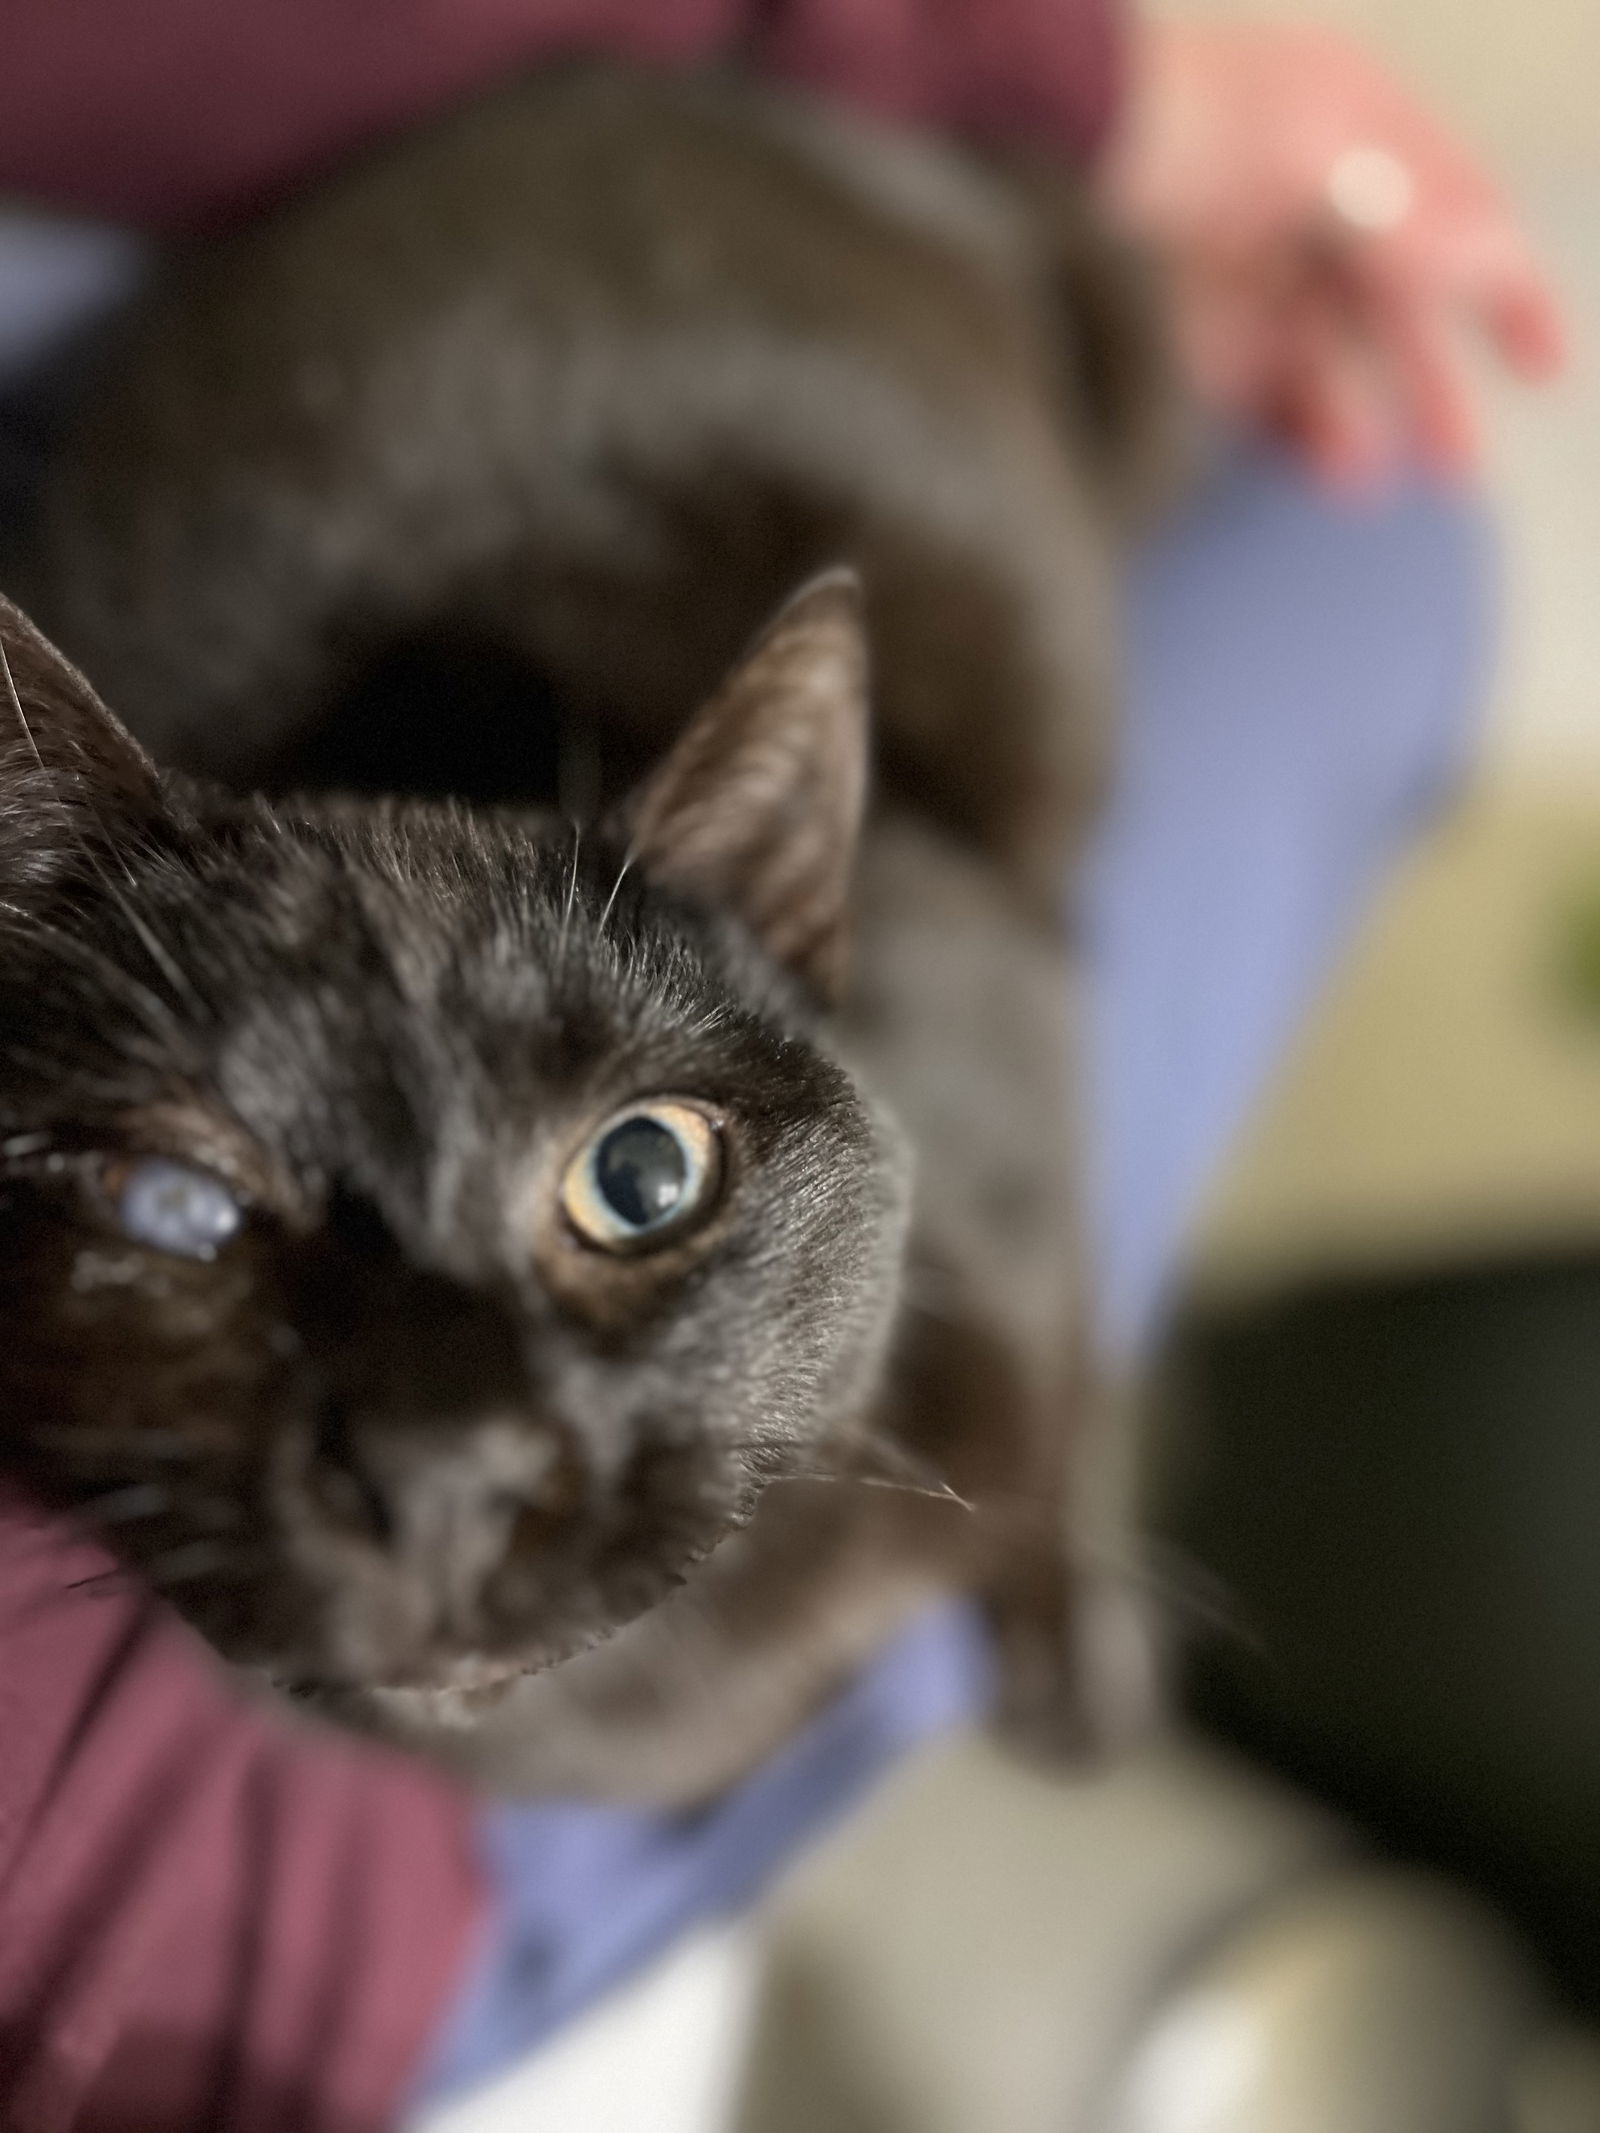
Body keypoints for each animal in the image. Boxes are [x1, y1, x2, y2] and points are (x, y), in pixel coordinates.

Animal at [0, 62, 1177, 1800]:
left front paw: (1075, 1633)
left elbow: (1075, 1367)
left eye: (643, 1176)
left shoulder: (1025, 1076)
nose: (443, 1476)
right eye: (172, 1206)